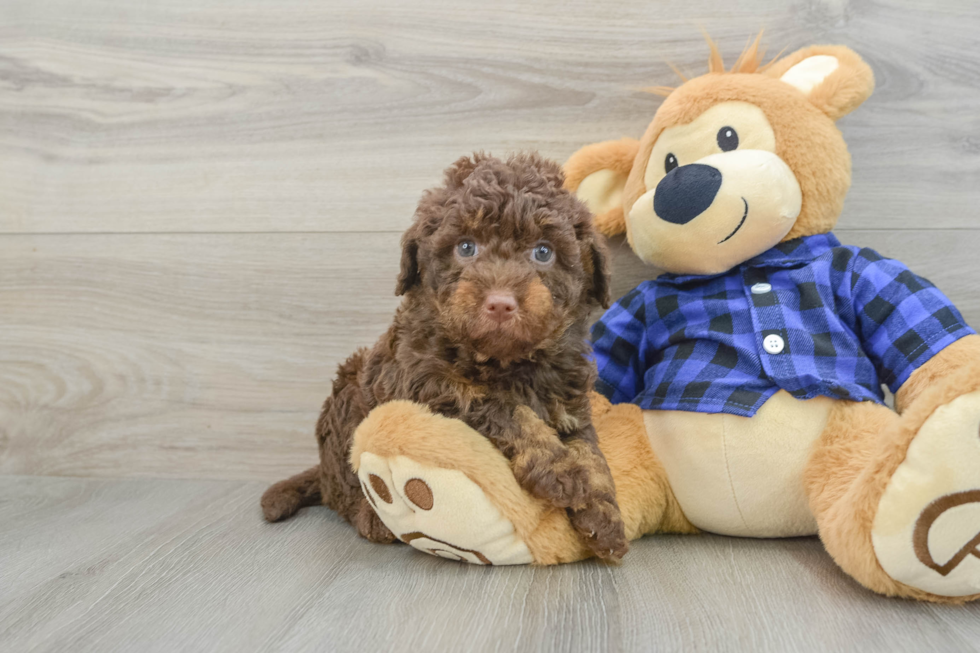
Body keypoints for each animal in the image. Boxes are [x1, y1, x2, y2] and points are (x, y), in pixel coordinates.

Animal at [260, 153, 628, 560]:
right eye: (465, 248)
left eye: (543, 252)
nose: (500, 303)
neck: (507, 360)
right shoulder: (427, 380)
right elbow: (506, 408)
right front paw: (561, 471)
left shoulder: (570, 400)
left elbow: (590, 451)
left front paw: (604, 517)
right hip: (346, 399)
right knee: (340, 487)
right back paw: (370, 518)